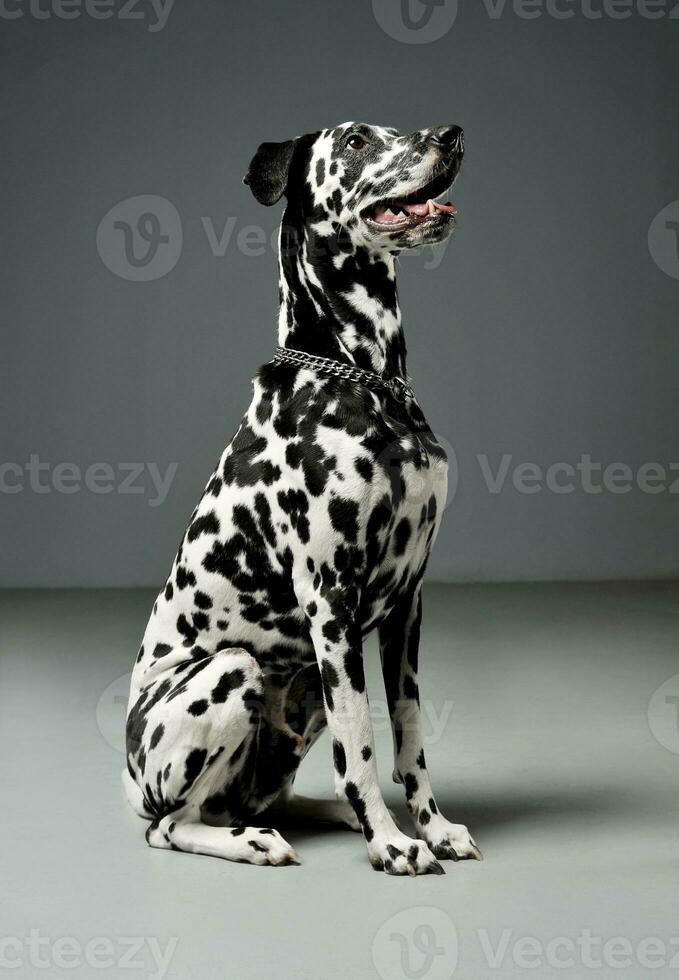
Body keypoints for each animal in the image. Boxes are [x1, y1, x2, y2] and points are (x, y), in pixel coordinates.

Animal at [123, 118, 484, 876]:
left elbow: (407, 736)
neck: (367, 382)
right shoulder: (332, 604)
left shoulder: (406, 604)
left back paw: (319, 817)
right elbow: (362, 746)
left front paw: (431, 827)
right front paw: (390, 843)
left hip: (305, 686)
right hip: (237, 671)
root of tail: (127, 774)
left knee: (264, 798)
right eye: (353, 141)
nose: (450, 134)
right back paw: (257, 841)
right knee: (173, 825)